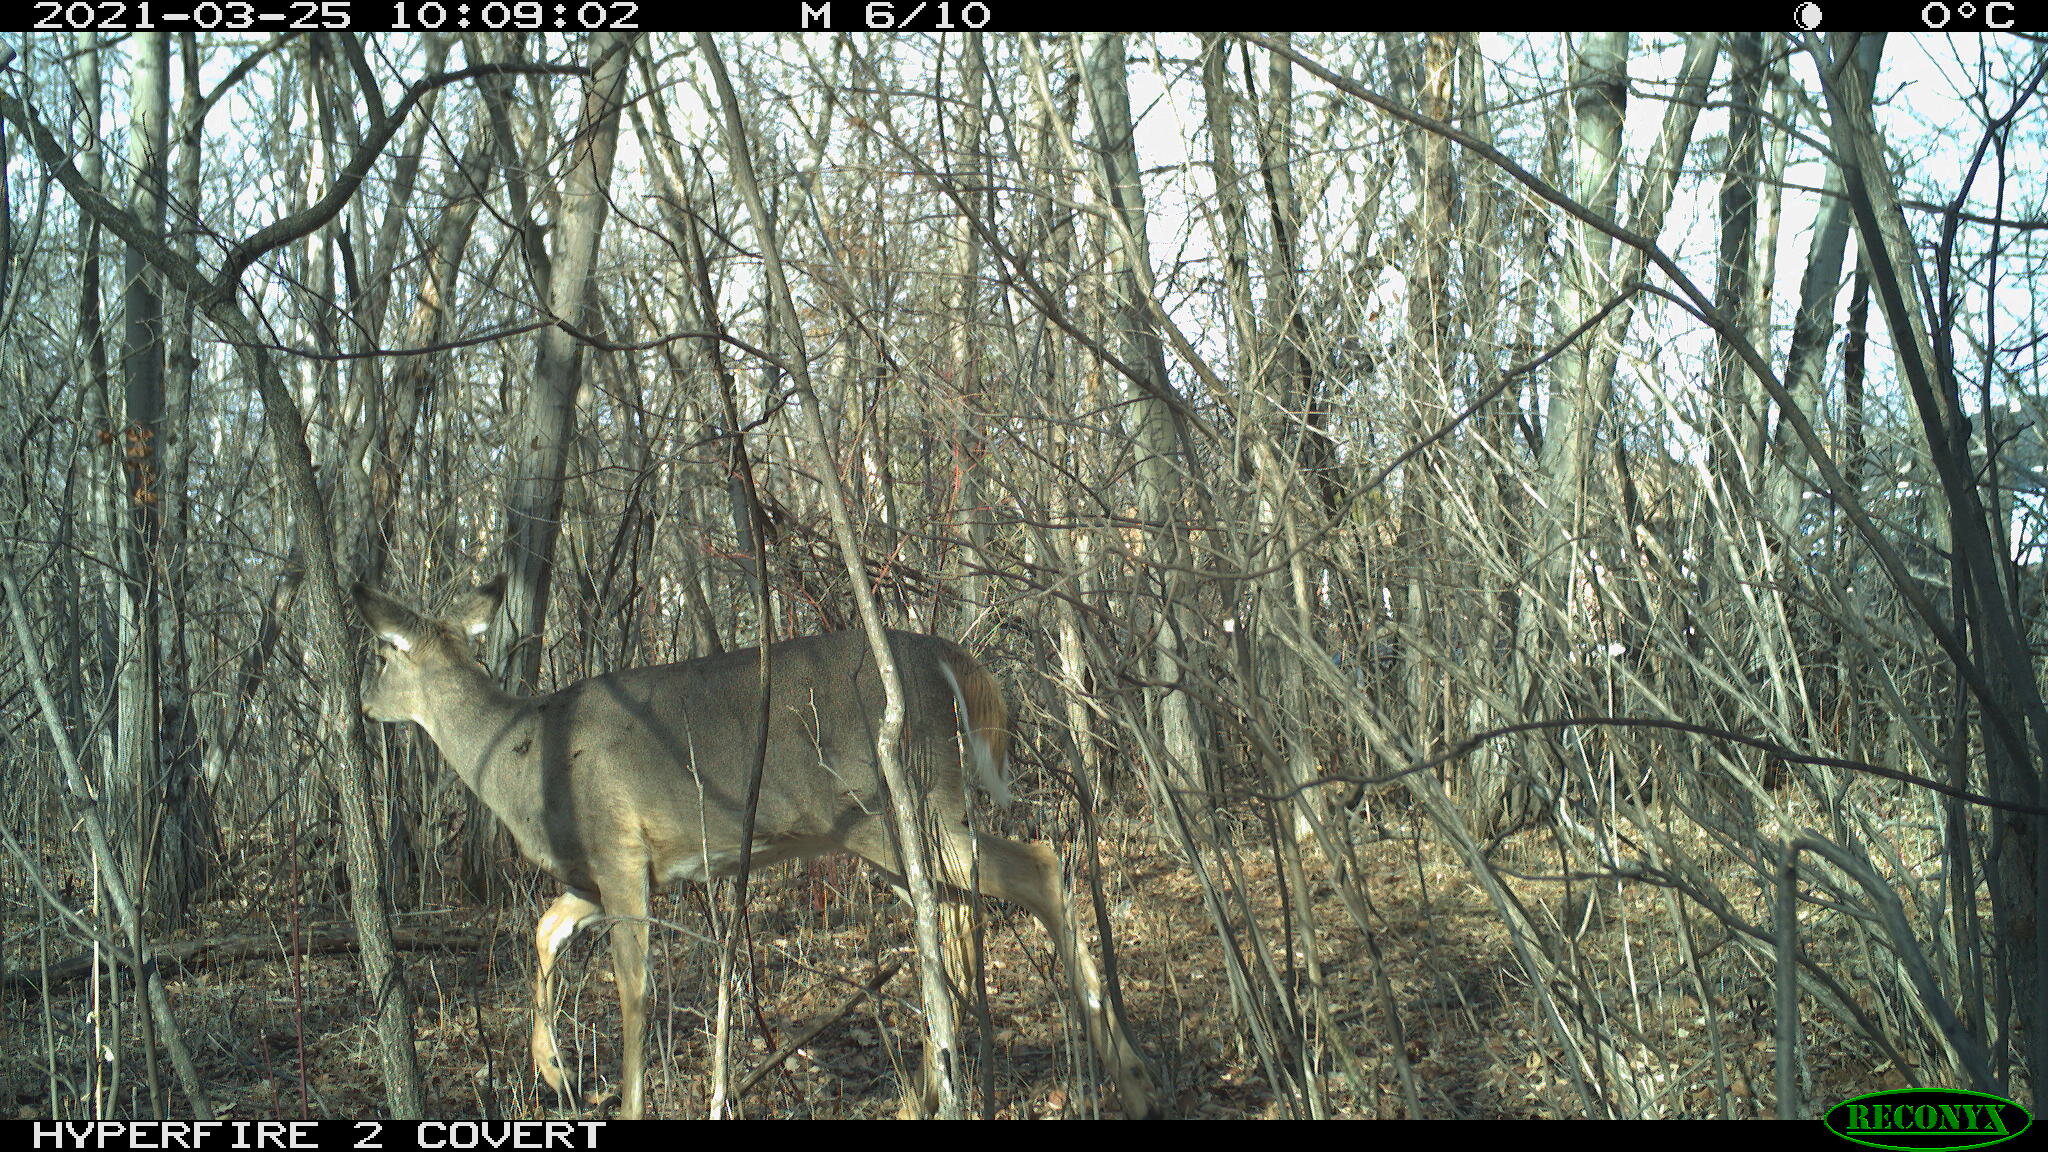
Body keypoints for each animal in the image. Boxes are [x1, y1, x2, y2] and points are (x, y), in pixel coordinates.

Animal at [351, 576, 1159, 1119]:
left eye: (384, 655)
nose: (361, 704)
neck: (520, 757)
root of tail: (945, 657)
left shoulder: (619, 849)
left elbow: (634, 990)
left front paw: (625, 1100)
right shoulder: (598, 872)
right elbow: (545, 930)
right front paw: (553, 1073)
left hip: (892, 808)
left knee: (1040, 868)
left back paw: (1128, 1077)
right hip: (904, 823)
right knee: (959, 917)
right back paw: (930, 1094)